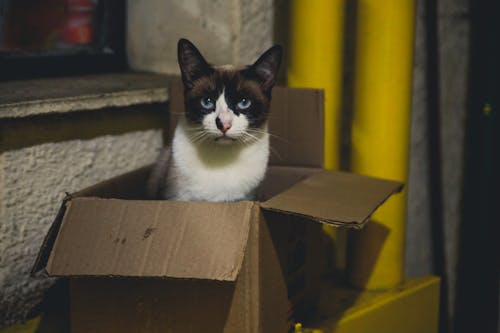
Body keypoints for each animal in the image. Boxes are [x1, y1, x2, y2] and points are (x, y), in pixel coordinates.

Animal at [147, 37, 282, 201]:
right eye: (207, 102)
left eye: (244, 102)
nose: (224, 124)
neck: (222, 161)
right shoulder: (176, 198)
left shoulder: (248, 199)